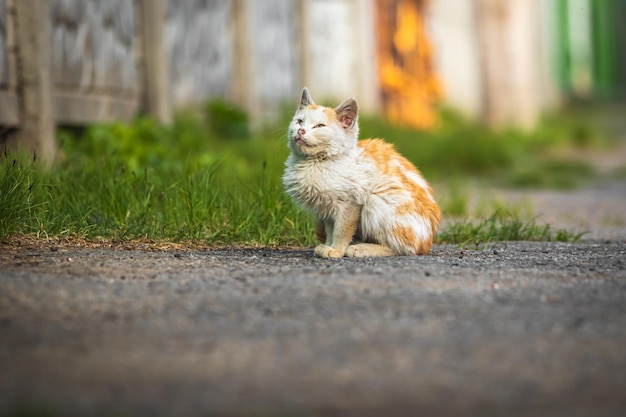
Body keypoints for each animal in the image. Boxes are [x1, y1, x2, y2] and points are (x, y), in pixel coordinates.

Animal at [282, 87, 438, 256]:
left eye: (319, 126)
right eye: (299, 121)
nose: (301, 131)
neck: (317, 161)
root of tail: (426, 244)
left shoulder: (350, 202)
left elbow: (342, 229)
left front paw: (336, 250)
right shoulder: (326, 208)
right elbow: (331, 229)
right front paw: (328, 245)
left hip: (376, 202)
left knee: (401, 248)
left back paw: (362, 248)